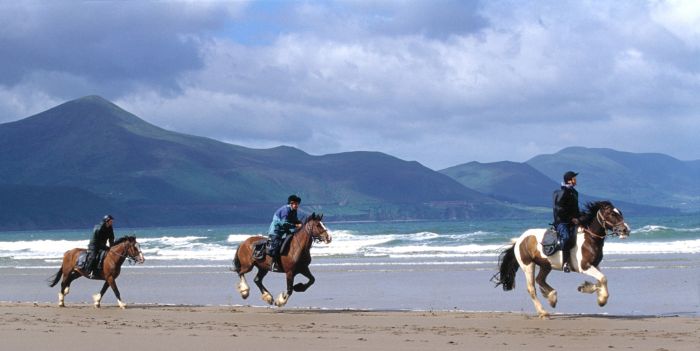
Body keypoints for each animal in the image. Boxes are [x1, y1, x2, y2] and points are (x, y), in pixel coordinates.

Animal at [490, 201, 632, 320]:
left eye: (620, 212)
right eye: (612, 214)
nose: (626, 230)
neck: (590, 239)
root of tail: (520, 240)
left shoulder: (595, 265)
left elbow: (600, 280)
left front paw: (587, 289)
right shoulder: (584, 267)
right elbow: (603, 279)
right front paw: (602, 300)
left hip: (546, 265)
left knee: (540, 280)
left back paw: (552, 297)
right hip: (528, 265)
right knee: (532, 288)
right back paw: (543, 312)